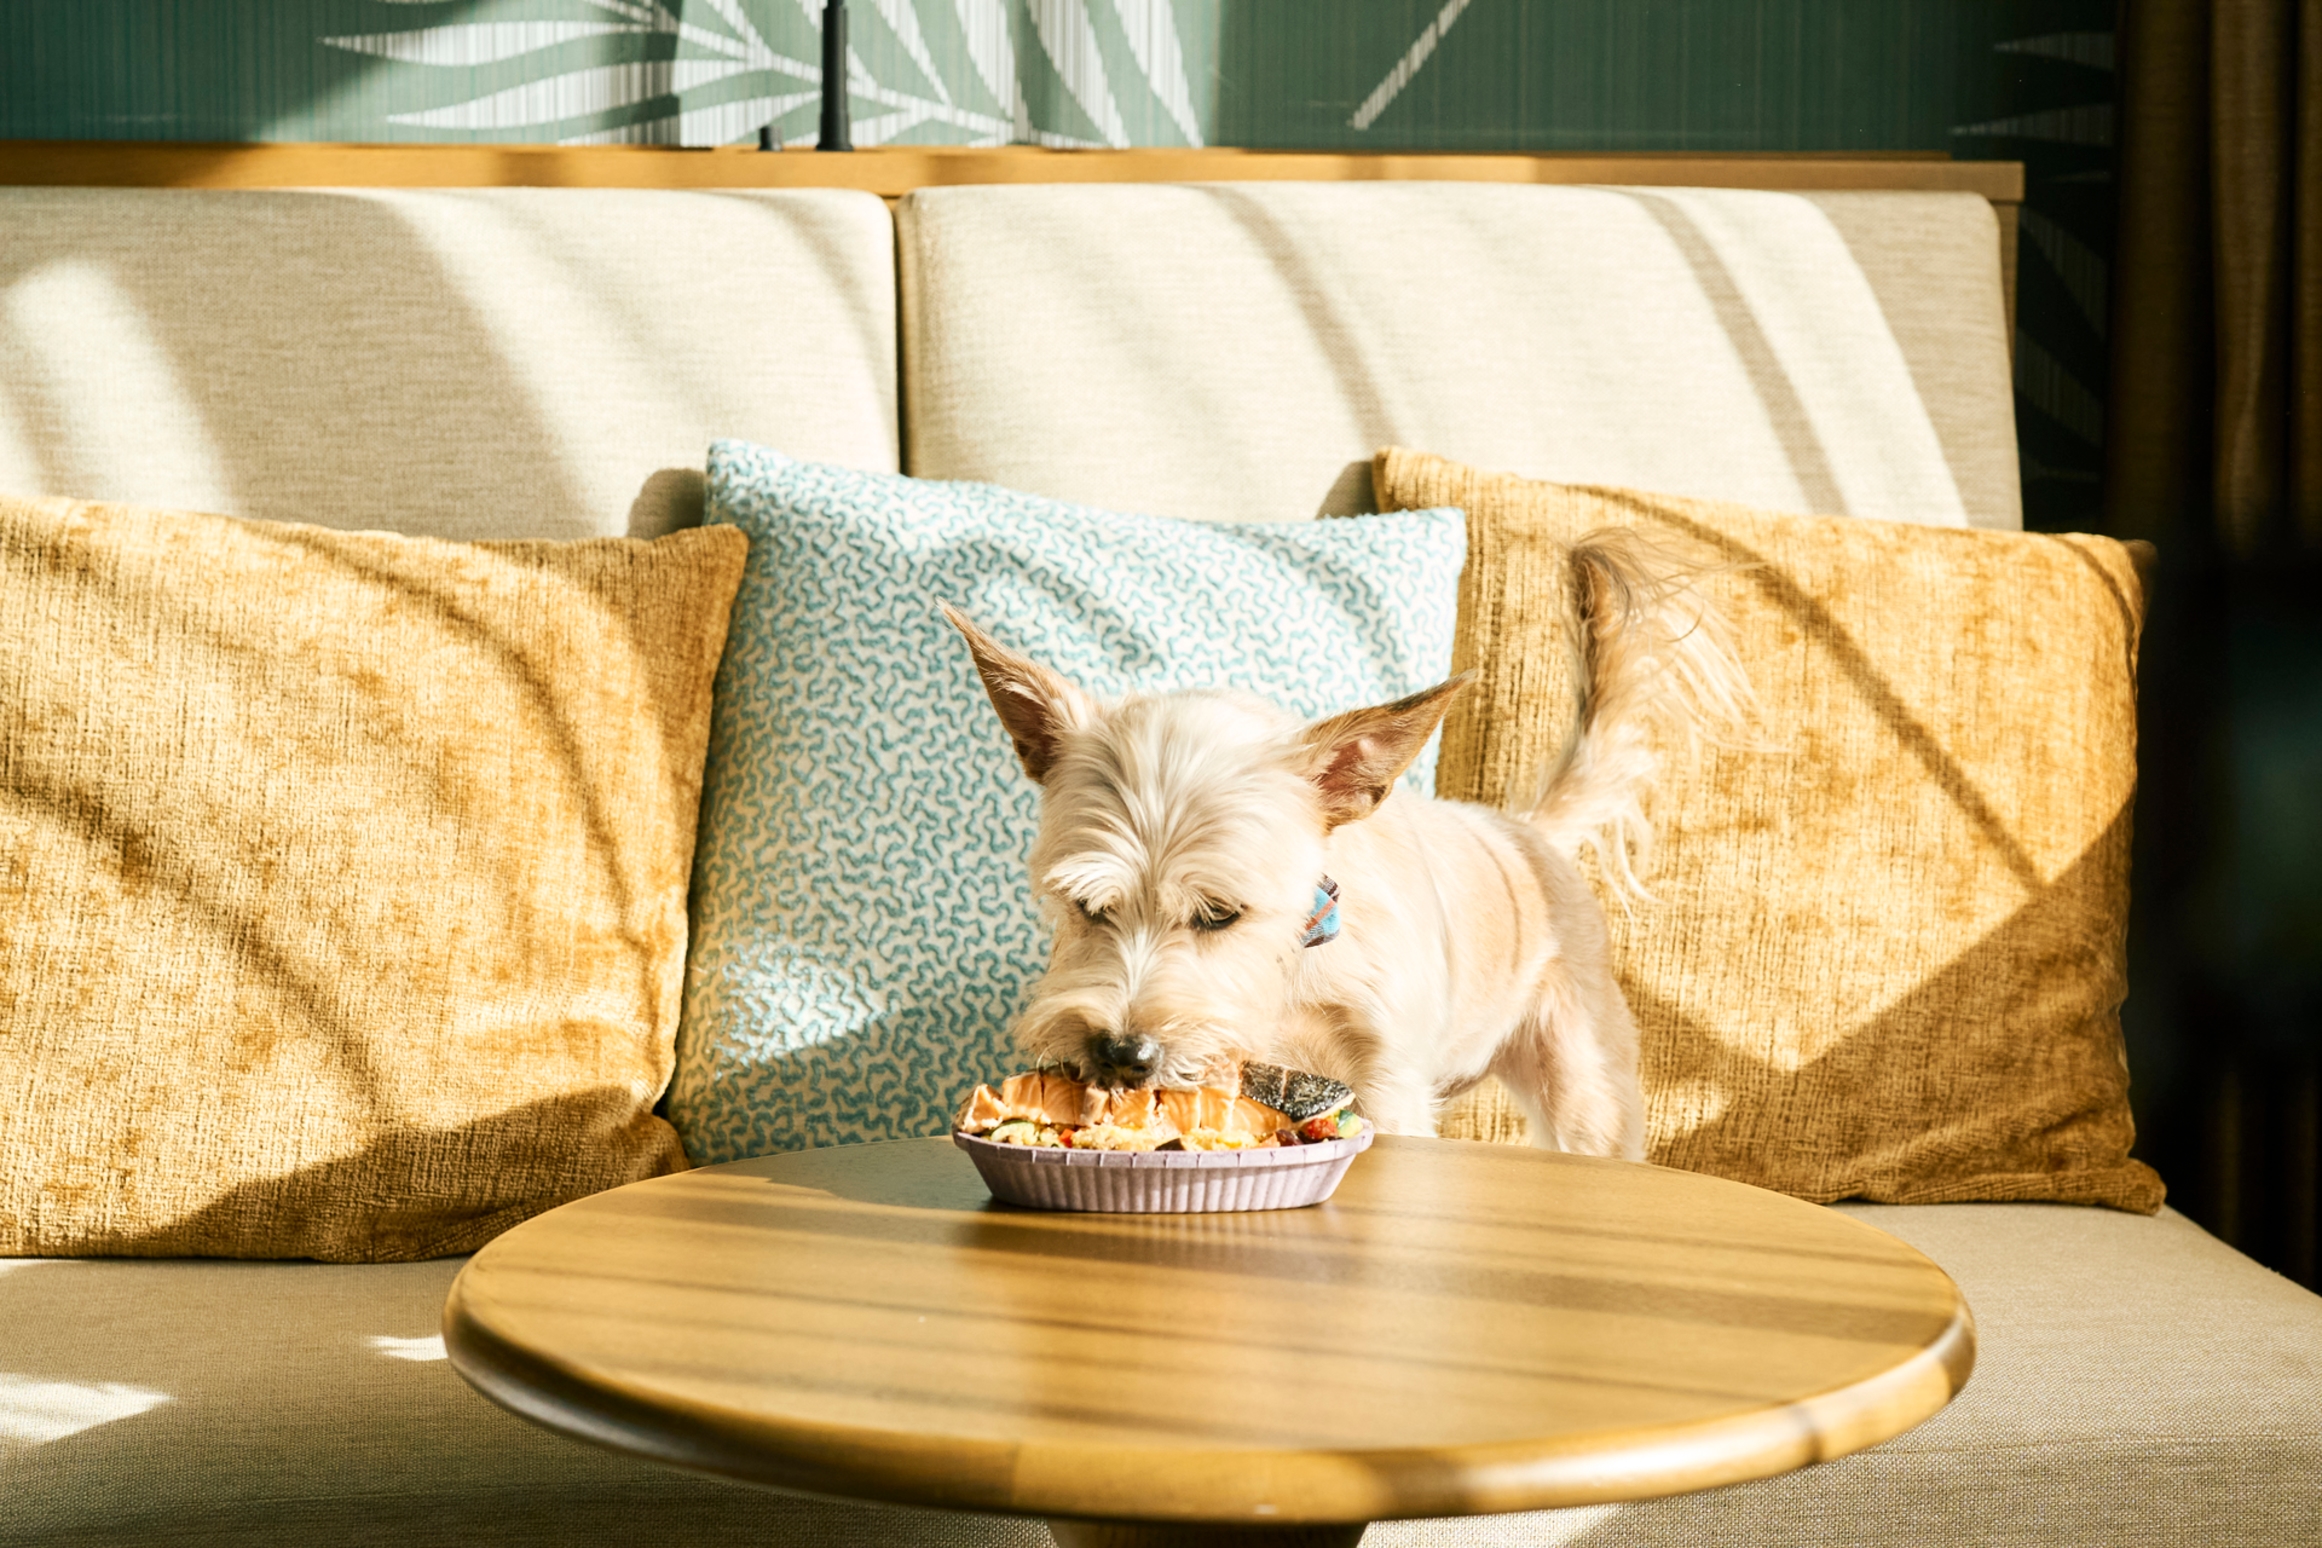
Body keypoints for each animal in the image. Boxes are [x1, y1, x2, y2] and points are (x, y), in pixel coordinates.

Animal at [938, 533, 1746, 1151]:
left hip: (1587, 1093)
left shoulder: (1388, 1086)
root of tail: (1523, 831)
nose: (1120, 1053)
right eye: (1086, 909)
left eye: (1220, 915)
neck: (1284, 971)